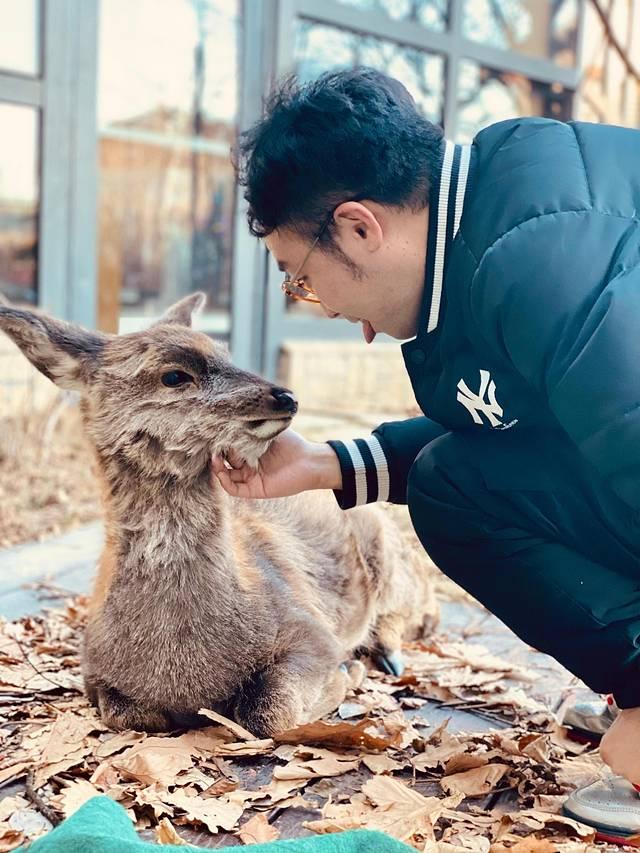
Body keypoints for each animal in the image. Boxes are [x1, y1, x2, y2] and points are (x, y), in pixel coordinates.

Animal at [0, 292, 438, 732]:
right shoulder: (93, 670)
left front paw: (347, 673)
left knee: (417, 607)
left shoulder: (311, 631)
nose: (286, 397)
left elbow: (270, 712)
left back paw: (387, 655)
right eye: (174, 376)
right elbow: (127, 715)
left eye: (226, 353)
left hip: (391, 556)